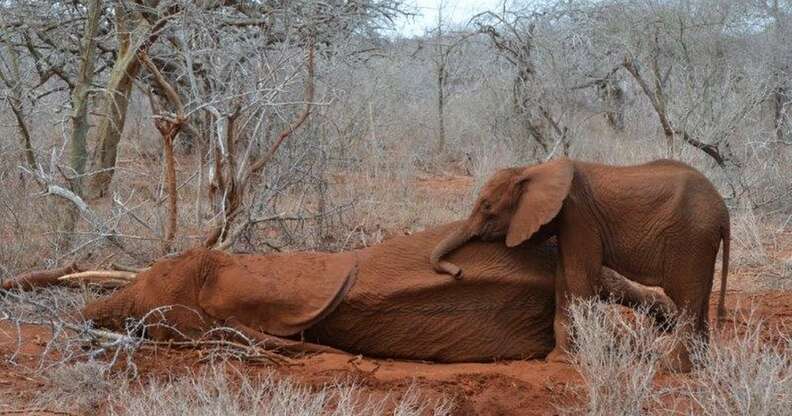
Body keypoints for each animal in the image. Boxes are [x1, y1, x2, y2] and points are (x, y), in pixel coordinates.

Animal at [434, 158, 732, 372]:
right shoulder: (568, 223)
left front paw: (577, 360)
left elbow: (579, 278)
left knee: (687, 298)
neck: (533, 168)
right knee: (700, 296)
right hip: (700, 243)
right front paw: (559, 360)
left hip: (690, 238)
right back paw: (700, 364)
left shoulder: (579, 217)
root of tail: (723, 211)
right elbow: (563, 280)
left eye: (486, 206)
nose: (458, 272)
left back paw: (671, 367)